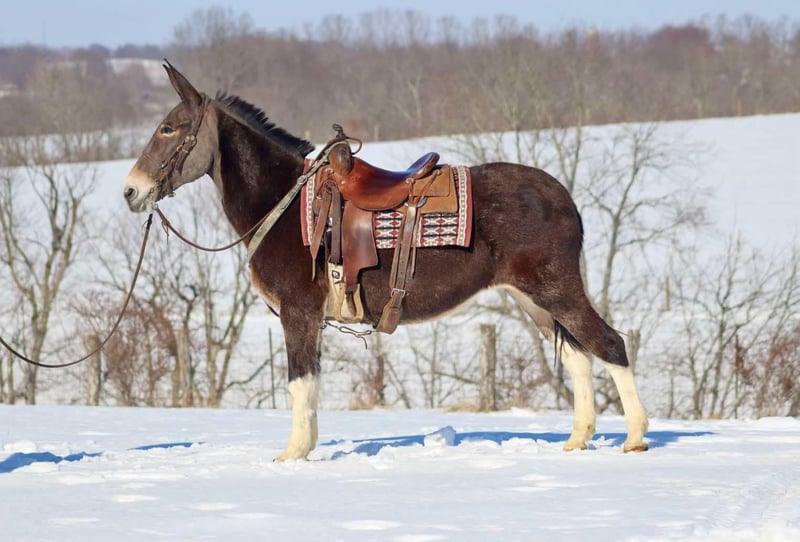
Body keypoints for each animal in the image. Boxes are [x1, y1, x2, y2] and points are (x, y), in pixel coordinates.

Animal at [123, 62, 648, 461]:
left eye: (169, 128)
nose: (130, 191)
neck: (286, 203)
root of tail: (562, 196)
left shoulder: (298, 311)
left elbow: (298, 382)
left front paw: (292, 455)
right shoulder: (309, 318)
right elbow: (310, 383)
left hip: (556, 289)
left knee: (611, 345)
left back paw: (635, 438)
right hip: (534, 299)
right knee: (578, 357)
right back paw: (578, 440)